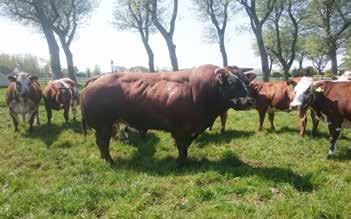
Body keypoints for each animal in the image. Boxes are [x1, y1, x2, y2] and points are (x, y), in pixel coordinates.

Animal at [81, 64, 254, 163]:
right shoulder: (180, 128)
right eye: (232, 83)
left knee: (100, 143)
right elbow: (181, 146)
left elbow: (186, 145)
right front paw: (180, 162)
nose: (250, 101)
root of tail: (92, 83)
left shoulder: (191, 129)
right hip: (103, 125)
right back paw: (110, 161)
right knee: (103, 143)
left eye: (246, 81)